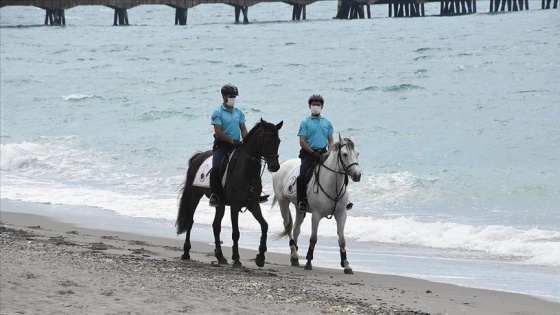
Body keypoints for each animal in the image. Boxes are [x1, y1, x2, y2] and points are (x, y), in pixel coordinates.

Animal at [176, 119, 282, 268]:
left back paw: (220, 256)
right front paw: (236, 259)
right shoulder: (235, 206)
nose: (275, 166)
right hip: (194, 195)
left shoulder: (253, 205)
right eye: (267, 141)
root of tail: (198, 157)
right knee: (191, 221)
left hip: (219, 203)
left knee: (216, 226)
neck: (246, 172)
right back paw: (186, 252)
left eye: (278, 141)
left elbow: (265, 226)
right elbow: (235, 233)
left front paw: (260, 257)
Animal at [272, 135, 364, 276]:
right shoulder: (316, 215)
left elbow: (342, 240)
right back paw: (294, 255)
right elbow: (313, 239)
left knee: (296, 229)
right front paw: (308, 262)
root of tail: (283, 165)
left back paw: (295, 258)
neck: (332, 184)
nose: (357, 175)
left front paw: (346, 265)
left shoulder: (341, 214)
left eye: (357, 153)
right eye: (344, 154)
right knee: (288, 227)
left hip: (299, 209)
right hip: (283, 202)